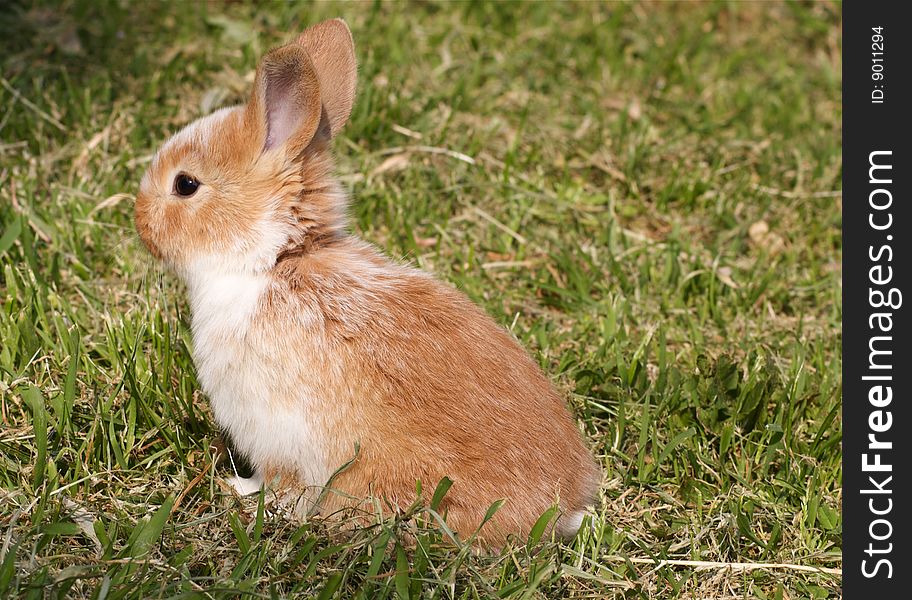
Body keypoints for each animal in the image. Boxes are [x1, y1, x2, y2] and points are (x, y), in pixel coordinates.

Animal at [135, 18, 604, 548]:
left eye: (185, 185)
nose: (139, 221)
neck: (273, 259)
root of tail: (563, 510)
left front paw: (240, 490)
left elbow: (274, 481)